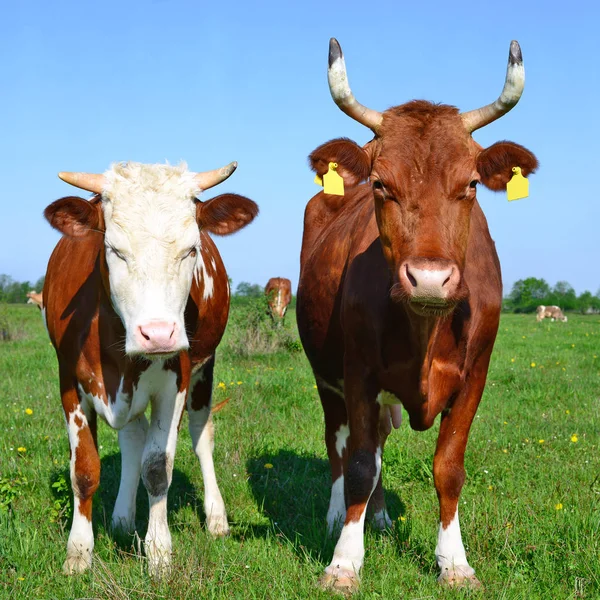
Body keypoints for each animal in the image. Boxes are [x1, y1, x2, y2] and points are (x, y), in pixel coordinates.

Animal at [42, 159, 258, 576]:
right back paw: (123, 519)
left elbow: (158, 469)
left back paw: (215, 517)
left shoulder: (176, 381)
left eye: (191, 249)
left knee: (200, 435)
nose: (157, 334)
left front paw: (158, 552)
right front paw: (79, 551)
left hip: (204, 372)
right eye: (114, 249)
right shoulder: (68, 381)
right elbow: (84, 470)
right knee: (132, 438)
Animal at [298, 39, 536, 592]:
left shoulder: (474, 376)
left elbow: (448, 467)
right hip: (326, 377)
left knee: (379, 442)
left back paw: (381, 517)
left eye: (471, 184)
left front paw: (455, 563)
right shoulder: (358, 373)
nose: (429, 279)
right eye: (381, 184)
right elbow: (359, 464)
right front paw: (344, 562)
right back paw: (338, 516)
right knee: (340, 442)